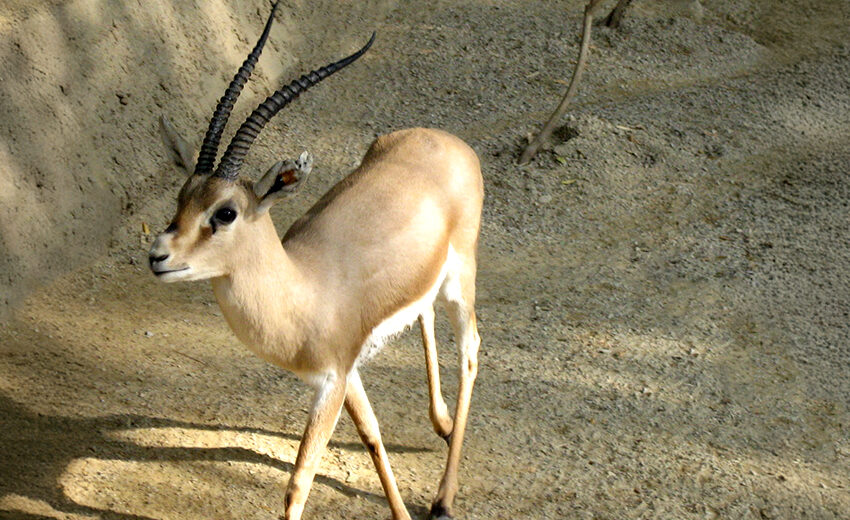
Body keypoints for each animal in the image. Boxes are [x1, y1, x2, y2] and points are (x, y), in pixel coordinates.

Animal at [148, 3, 483, 519]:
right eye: (181, 198)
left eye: (225, 212)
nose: (158, 256)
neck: (302, 289)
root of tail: (447, 141)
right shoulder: (348, 372)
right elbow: (371, 434)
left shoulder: (331, 381)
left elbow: (298, 483)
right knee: (425, 314)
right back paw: (442, 424)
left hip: (460, 278)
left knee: (470, 350)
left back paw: (444, 498)